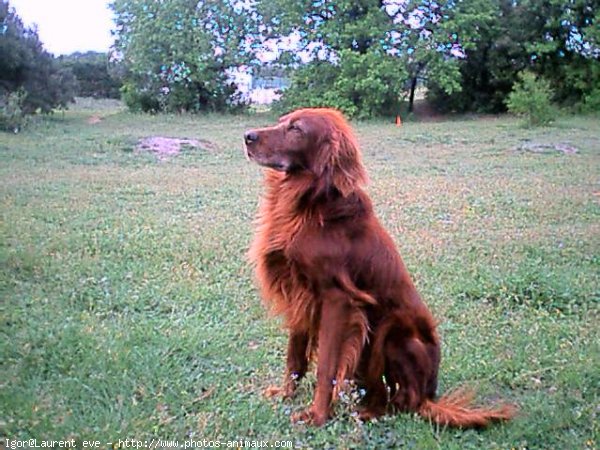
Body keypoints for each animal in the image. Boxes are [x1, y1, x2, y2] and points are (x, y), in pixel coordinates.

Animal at [241, 107, 512, 428]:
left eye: (296, 129)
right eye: (282, 121)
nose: (247, 136)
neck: (309, 204)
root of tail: (430, 394)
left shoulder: (337, 299)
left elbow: (326, 366)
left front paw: (317, 415)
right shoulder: (299, 292)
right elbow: (294, 355)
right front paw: (286, 395)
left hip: (393, 330)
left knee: (406, 402)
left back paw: (369, 412)